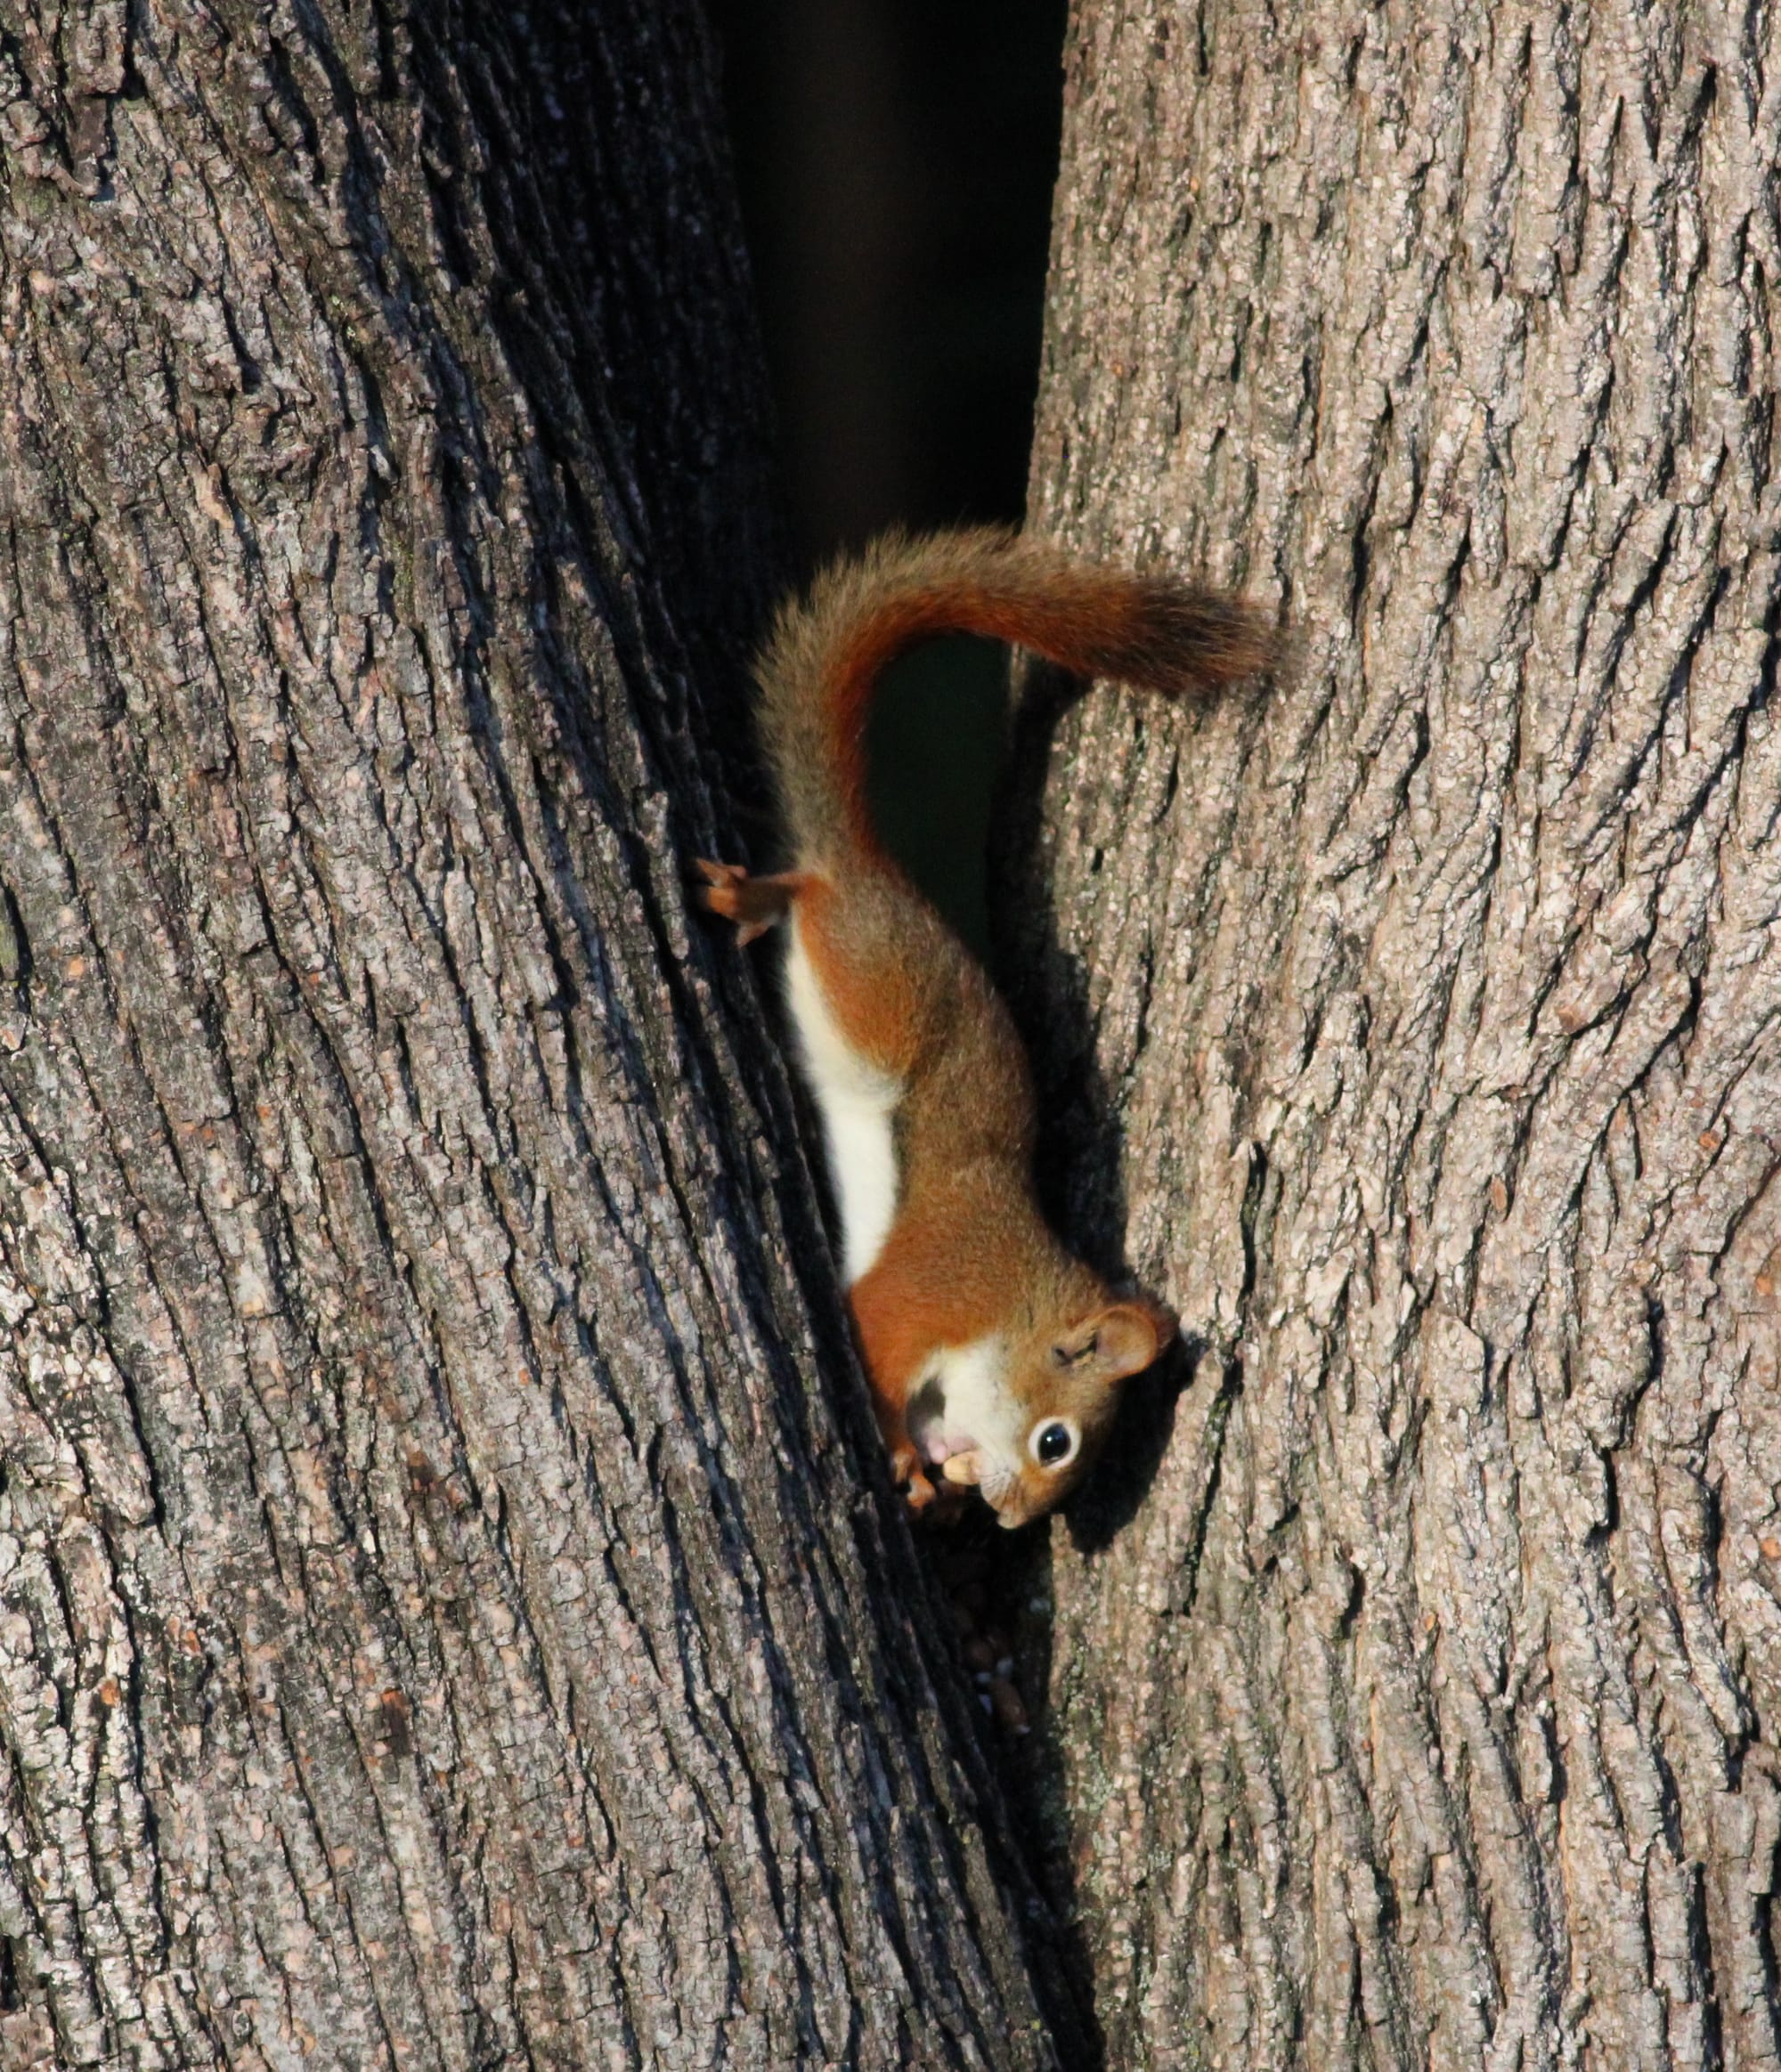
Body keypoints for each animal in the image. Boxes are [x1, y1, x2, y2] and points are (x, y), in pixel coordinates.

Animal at [697, 528, 1269, 1527]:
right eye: (1056, 1441)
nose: (1012, 1519)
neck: (1014, 1309)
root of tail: (874, 866)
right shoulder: (935, 1292)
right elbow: (877, 1343)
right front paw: (903, 1453)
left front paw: (943, 1474)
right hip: (879, 999)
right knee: (814, 890)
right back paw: (760, 894)